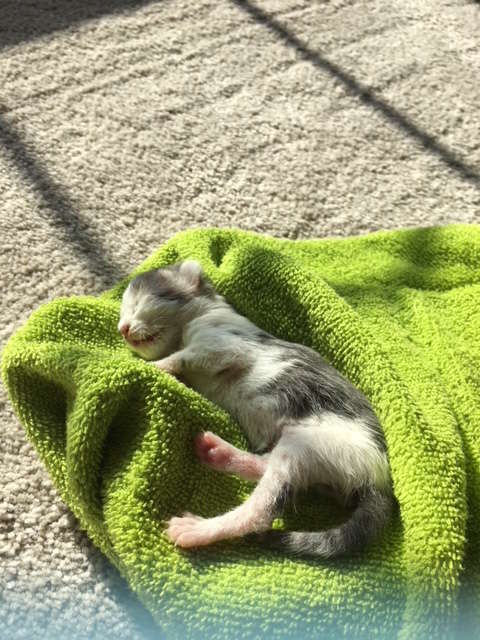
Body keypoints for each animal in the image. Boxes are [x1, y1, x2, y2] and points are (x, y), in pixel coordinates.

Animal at [118, 260, 392, 556]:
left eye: (142, 301)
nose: (122, 328)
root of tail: (379, 479)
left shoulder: (222, 345)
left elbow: (182, 358)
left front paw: (152, 365)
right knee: (269, 468)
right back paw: (219, 453)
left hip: (312, 444)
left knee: (260, 512)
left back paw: (197, 529)